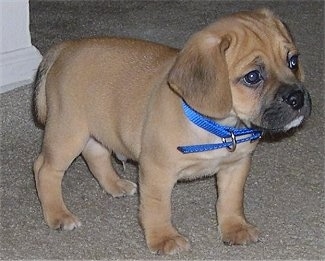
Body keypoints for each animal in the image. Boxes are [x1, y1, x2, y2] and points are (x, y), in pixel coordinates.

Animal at [34, 8, 310, 254]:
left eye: (293, 61)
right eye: (253, 77)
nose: (297, 98)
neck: (219, 127)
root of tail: (65, 47)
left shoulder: (236, 166)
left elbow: (231, 200)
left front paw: (235, 228)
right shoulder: (157, 171)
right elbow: (158, 208)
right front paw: (163, 238)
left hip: (95, 126)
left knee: (96, 154)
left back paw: (115, 185)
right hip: (68, 131)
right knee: (45, 169)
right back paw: (58, 215)